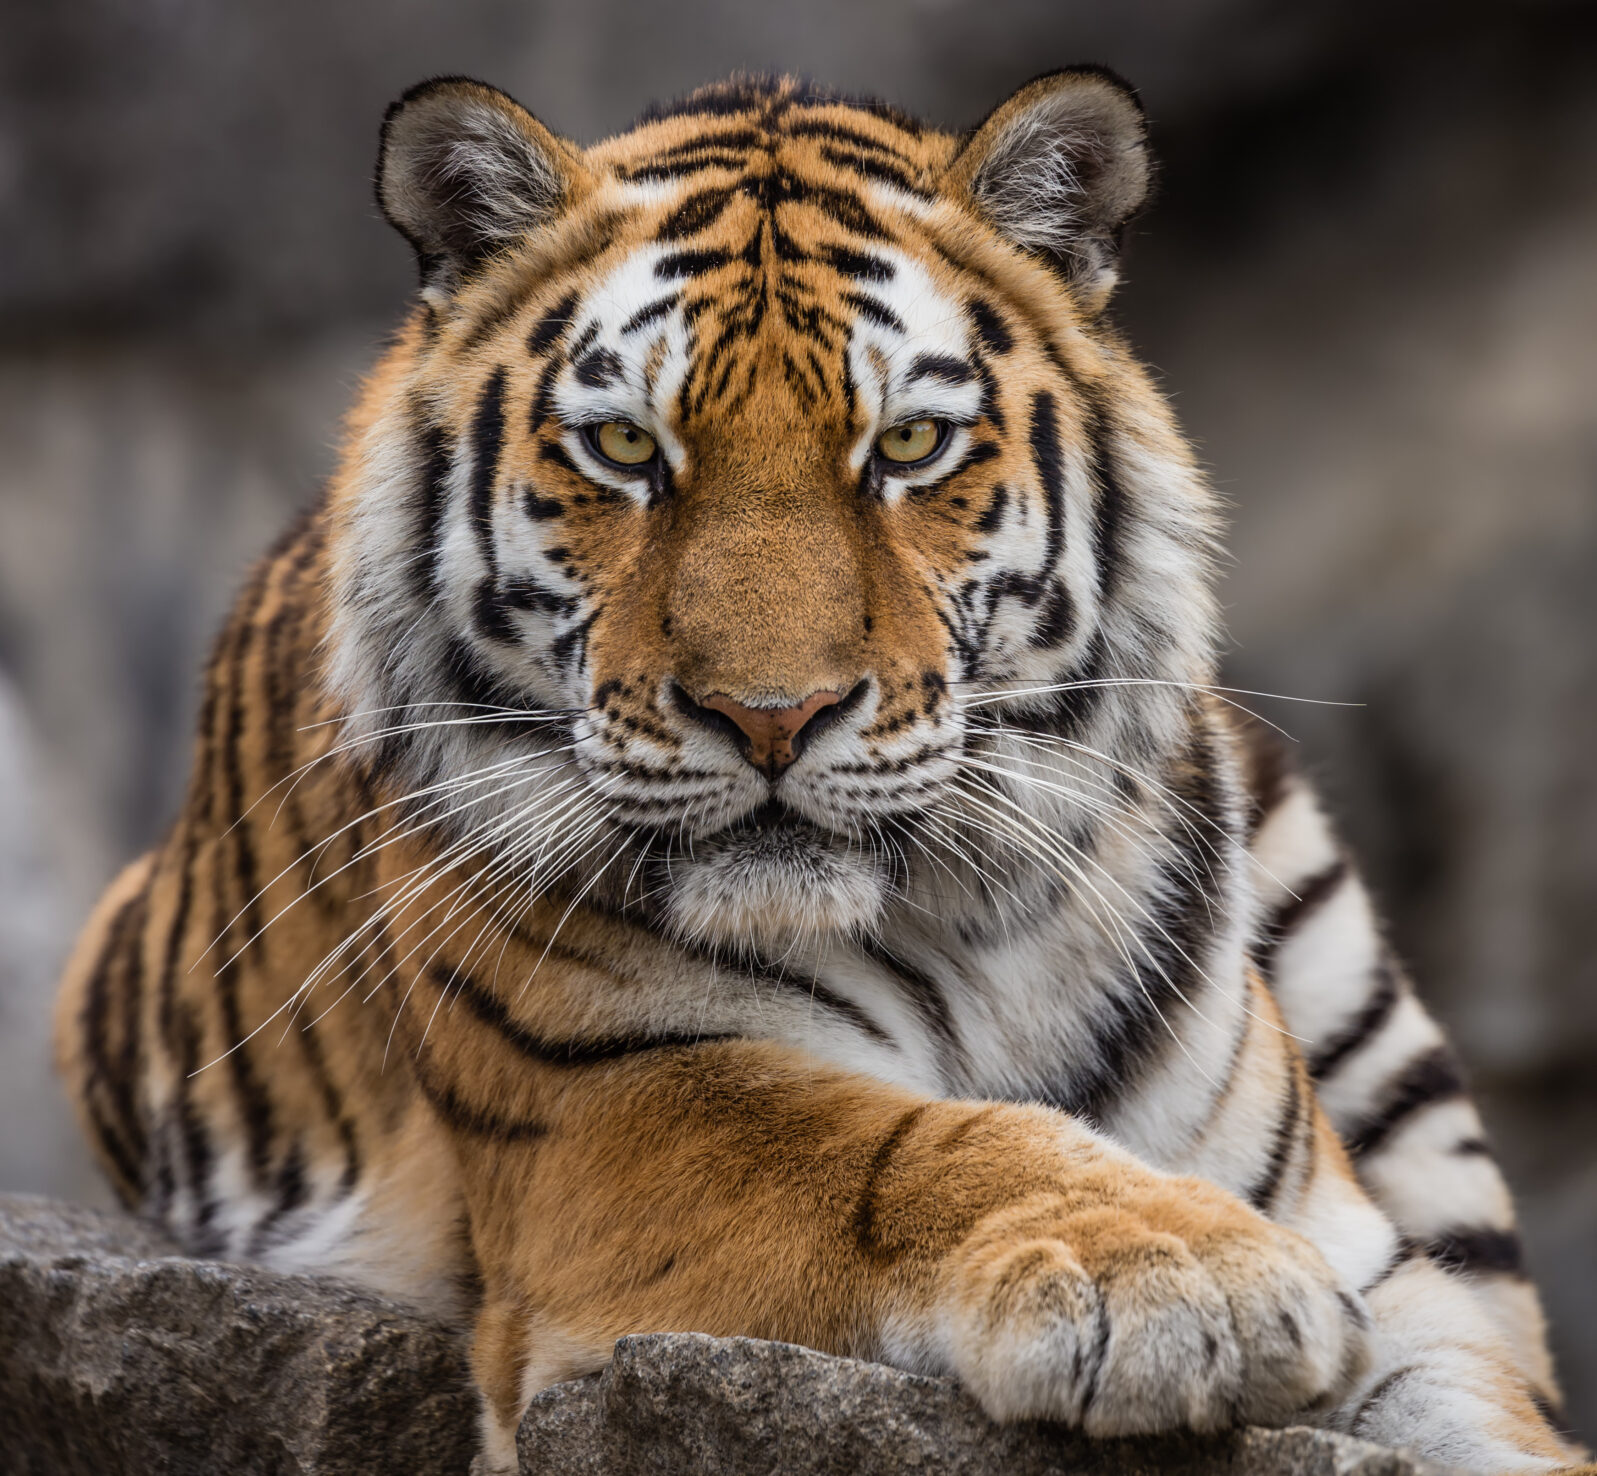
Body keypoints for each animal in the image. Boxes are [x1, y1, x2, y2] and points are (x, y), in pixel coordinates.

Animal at [56, 63, 1577, 1469]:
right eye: (626, 448)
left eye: (906, 444)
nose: (771, 716)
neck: (975, 930)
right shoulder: (612, 1105)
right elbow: (899, 1145)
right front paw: (1182, 1276)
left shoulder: (1397, 1279)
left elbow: (1501, 1422)